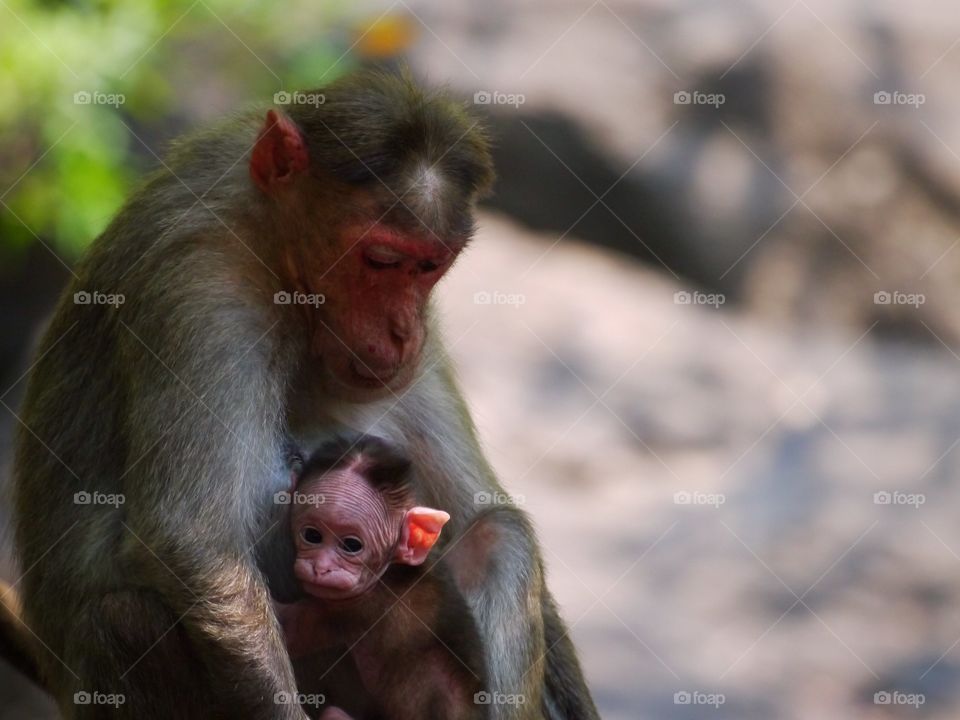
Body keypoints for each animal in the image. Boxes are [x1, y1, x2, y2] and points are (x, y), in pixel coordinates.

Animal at [276, 434, 488, 720]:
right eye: (312, 535)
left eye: (351, 545)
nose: (321, 568)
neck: (393, 569)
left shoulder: (359, 607)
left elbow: (289, 629)